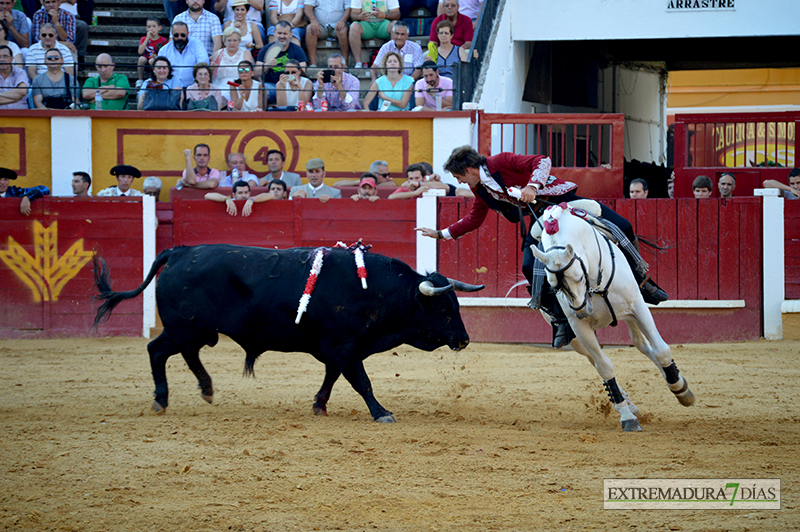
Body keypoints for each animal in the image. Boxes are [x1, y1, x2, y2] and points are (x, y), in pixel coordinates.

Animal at [91, 245, 484, 424]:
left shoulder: (336, 350)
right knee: (156, 350)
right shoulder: (345, 347)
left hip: (198, 330)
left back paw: (206, 389)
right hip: (184, 327)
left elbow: (332, 378)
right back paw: (161, 399)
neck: (378, 291)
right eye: (443, 308)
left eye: (456, 304)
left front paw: (319, 405)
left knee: (187, 354)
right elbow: (361, 382)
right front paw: (381, 413)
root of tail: (179, 251)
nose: (464, 339)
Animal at [532, 202, 692, 430]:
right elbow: (605, 367)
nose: (582, 311)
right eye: (553, 286)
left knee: (644, 345)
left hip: (629, 315)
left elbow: (661, 350)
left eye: (578, 276)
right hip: (578, 340)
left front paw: (680, 388)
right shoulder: (580, 329)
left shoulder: (637, 307)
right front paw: (627, 416)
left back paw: (673, 379)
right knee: (597, 359)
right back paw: (628, 404)